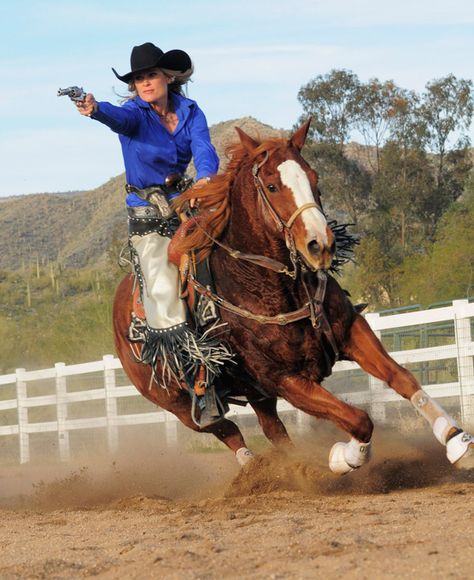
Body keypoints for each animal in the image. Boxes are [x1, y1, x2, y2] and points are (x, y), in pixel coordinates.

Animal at [113, 121, 472, 472]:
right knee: (229, 431)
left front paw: (455, 440)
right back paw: (257, 470)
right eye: (272, 186)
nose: (320, 244)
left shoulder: (351, 331)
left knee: (273, 431)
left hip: (256, 396)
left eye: (314, 179)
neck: (270, 287)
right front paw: (344, 457)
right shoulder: (284, 379)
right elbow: (358, 419)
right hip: (180, 405)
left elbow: (401, 378)